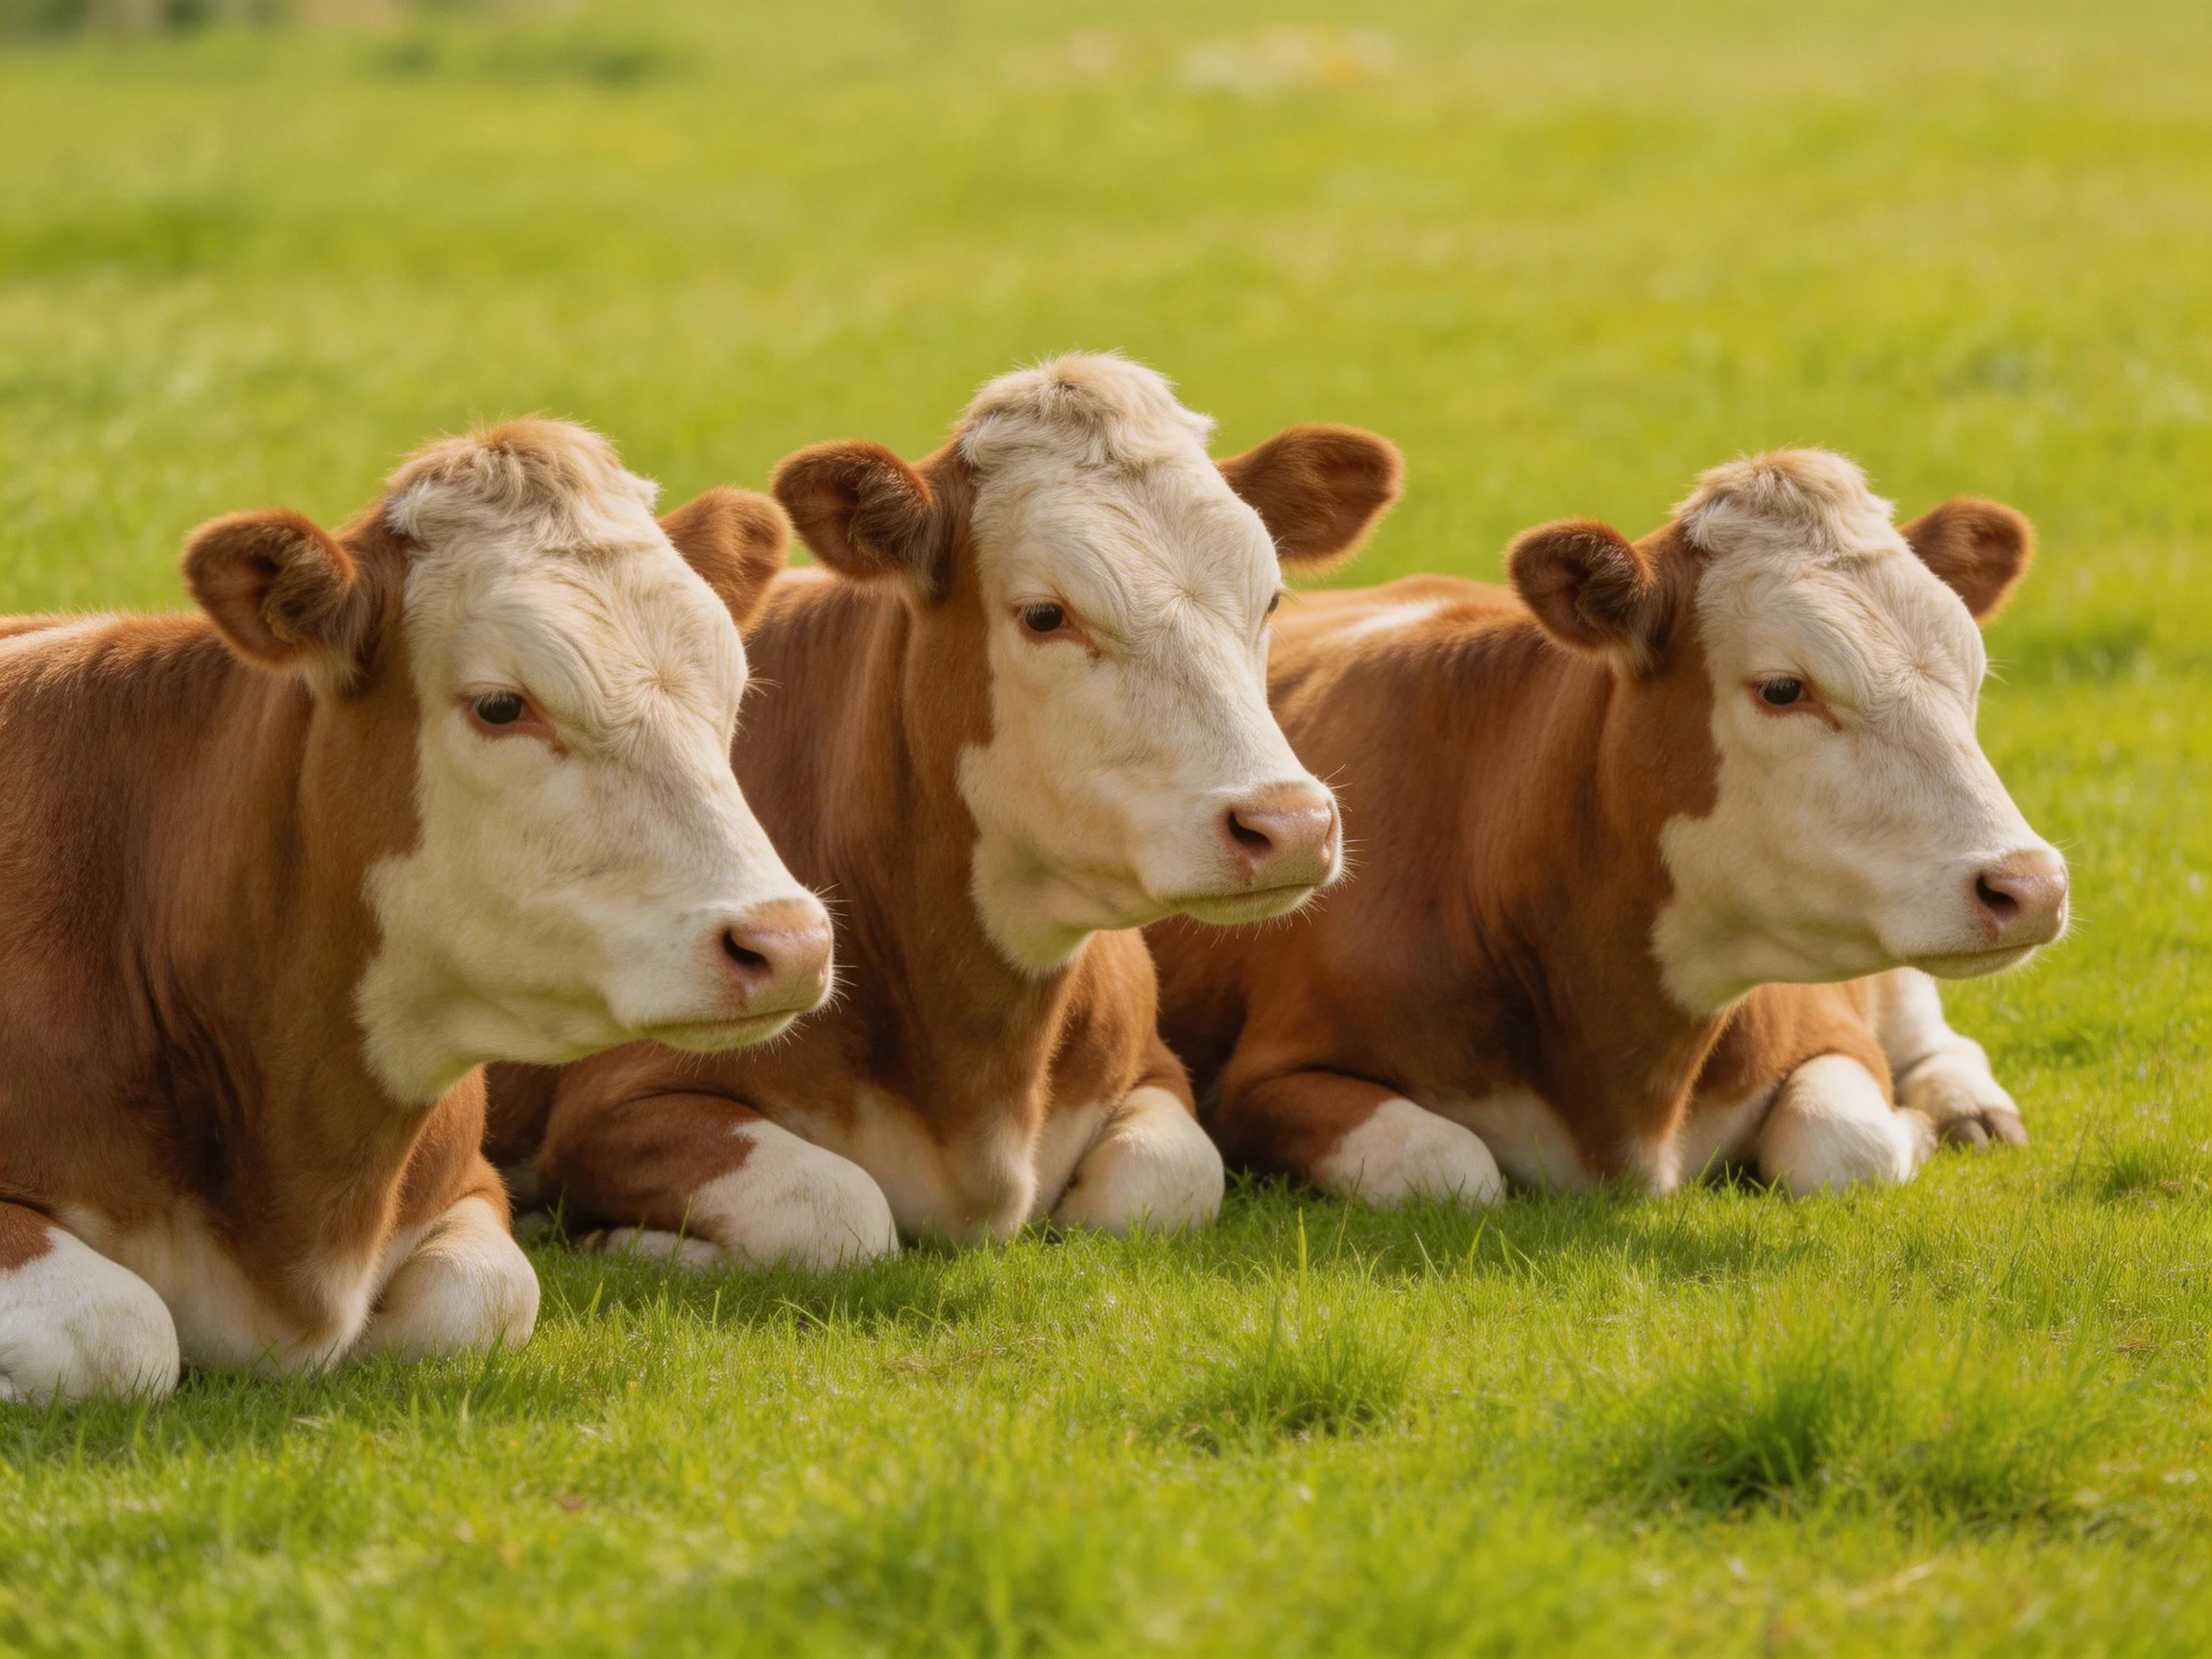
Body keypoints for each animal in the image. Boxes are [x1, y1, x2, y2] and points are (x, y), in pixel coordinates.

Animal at [0, 421, 832, 1401]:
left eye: (733, 693)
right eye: (502, 705)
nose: (788, 942)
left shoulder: (466, 1184)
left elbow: (487, 1292)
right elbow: (118, 1329)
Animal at [485, 354, 1401, 1267]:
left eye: (1271, 598)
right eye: (1046, 615)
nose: (1288, 826)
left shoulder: (1154, 1069)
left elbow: (1165, 1182)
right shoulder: (615, 1104)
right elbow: (836, 1213)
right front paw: (617, 1239)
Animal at [1150, 449, 2065, 1202]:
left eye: (1973, 673)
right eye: (1783, 688)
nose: (2031, 885)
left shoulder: (1831, 1030)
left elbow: (1847, 1146)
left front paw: (1918, 1127)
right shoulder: (1262, 1081)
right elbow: (1448, 1167)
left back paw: (1970, 1107)